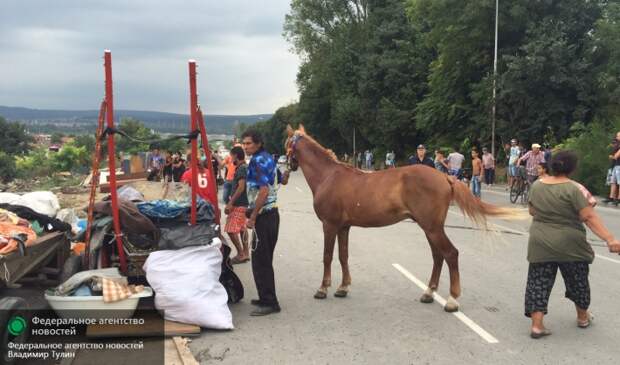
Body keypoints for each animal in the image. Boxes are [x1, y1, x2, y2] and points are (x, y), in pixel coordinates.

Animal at [284, 124, 520, 310]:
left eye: (286, 142)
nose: (287, 168)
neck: (329, 176)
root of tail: (444, 176)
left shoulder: (329, 225)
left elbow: (327, 256)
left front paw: (323, 288)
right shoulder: (343, 227)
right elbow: (343, 256)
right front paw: (343, 287)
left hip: (432, 228)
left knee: (451, 254)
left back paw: (452, 300)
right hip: (430, 228)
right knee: (438, 256)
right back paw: (428, 293)